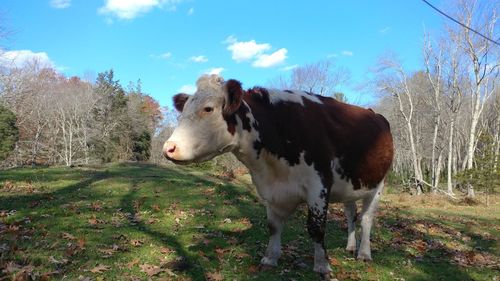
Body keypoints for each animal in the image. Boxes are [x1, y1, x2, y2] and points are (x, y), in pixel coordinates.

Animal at [164, 74, 394, 276]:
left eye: (208, 108)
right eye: (184, 110)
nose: (169, 148)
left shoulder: (318, 185)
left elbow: (316, 227)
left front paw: (322, 265)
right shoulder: (270, 189)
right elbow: (273, 226)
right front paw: (270, 258)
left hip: (378, 185)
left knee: (366, 219)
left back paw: (364, 254)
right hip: (351, 186)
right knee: (351, 213)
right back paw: (350, 246)